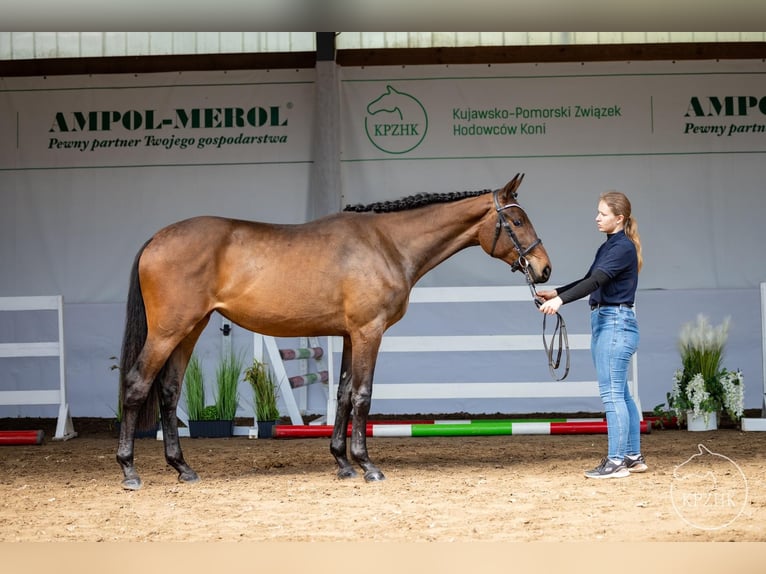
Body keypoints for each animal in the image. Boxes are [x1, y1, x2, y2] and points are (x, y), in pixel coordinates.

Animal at [115, 174, 552, 490]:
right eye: (516, 221)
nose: (544, 269)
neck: (386, 244)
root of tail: (157, 239)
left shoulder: (347, 335)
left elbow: (342, 394)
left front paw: (343, 462)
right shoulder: (368, 332)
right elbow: (362, 396)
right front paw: (368, 465)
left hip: (189, 330)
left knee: (169, 391)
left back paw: (182, 468)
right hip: (168, 332)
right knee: (137, 385)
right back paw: (129, 471)